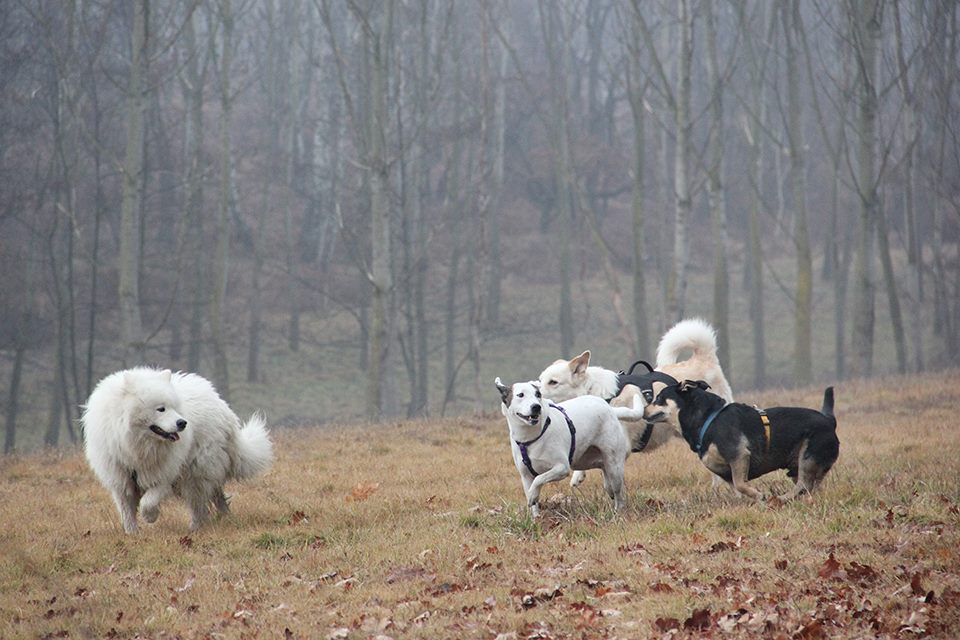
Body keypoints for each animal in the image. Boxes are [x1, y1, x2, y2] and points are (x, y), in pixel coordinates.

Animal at [81, 368, 274, 532]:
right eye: (161, 408)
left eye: (174, 407)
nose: (182, 423)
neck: (135, 447)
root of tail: (225, 410)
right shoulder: (121, 480)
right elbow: (127, 512)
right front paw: (132, 535)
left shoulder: (164, 476)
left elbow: (148, 502)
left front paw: (150, 517)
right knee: (216, 496)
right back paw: (225, 518)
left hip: (196, 473)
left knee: (199, 506)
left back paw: (195, 528)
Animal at [498, 378, 648, 516]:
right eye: (520, 395)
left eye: (538, 394)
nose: (536, 406)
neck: (531, 437)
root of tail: (609, 408)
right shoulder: (526, 476)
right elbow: (533, 490)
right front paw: (536, 518)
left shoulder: (561, 468)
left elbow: (539, 479)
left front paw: (532, 495)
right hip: (584, 461)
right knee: (605, 474)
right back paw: (609, 490)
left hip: (614, 463)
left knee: (618, 489)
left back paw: (618, 511)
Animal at [644, 380, 840, 500]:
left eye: (659, 398)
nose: (643, 410)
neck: (709, 419)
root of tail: (829, 420)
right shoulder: (724, 470)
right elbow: (736, 488)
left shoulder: (738, 456)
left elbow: (740, 485)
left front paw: (760, 496)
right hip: (799, 466)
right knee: (810, 487)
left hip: (808, 456)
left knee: (804, 485)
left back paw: (782, 498)